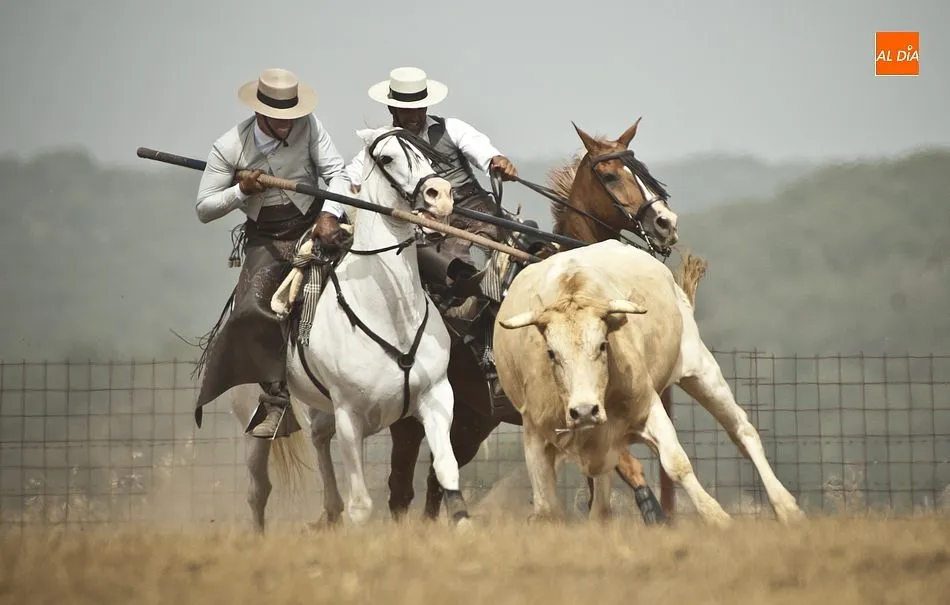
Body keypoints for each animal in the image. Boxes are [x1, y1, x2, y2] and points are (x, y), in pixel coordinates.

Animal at [492, 239, 805, 526]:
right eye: (551, 353)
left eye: (603, 345)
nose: (583, 411)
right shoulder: (534, 433)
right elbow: (548, 508)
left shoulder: (649, 405)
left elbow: (676, 463)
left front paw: (718, 518)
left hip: (700, 370)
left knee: (742, 430)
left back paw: (786, 507)